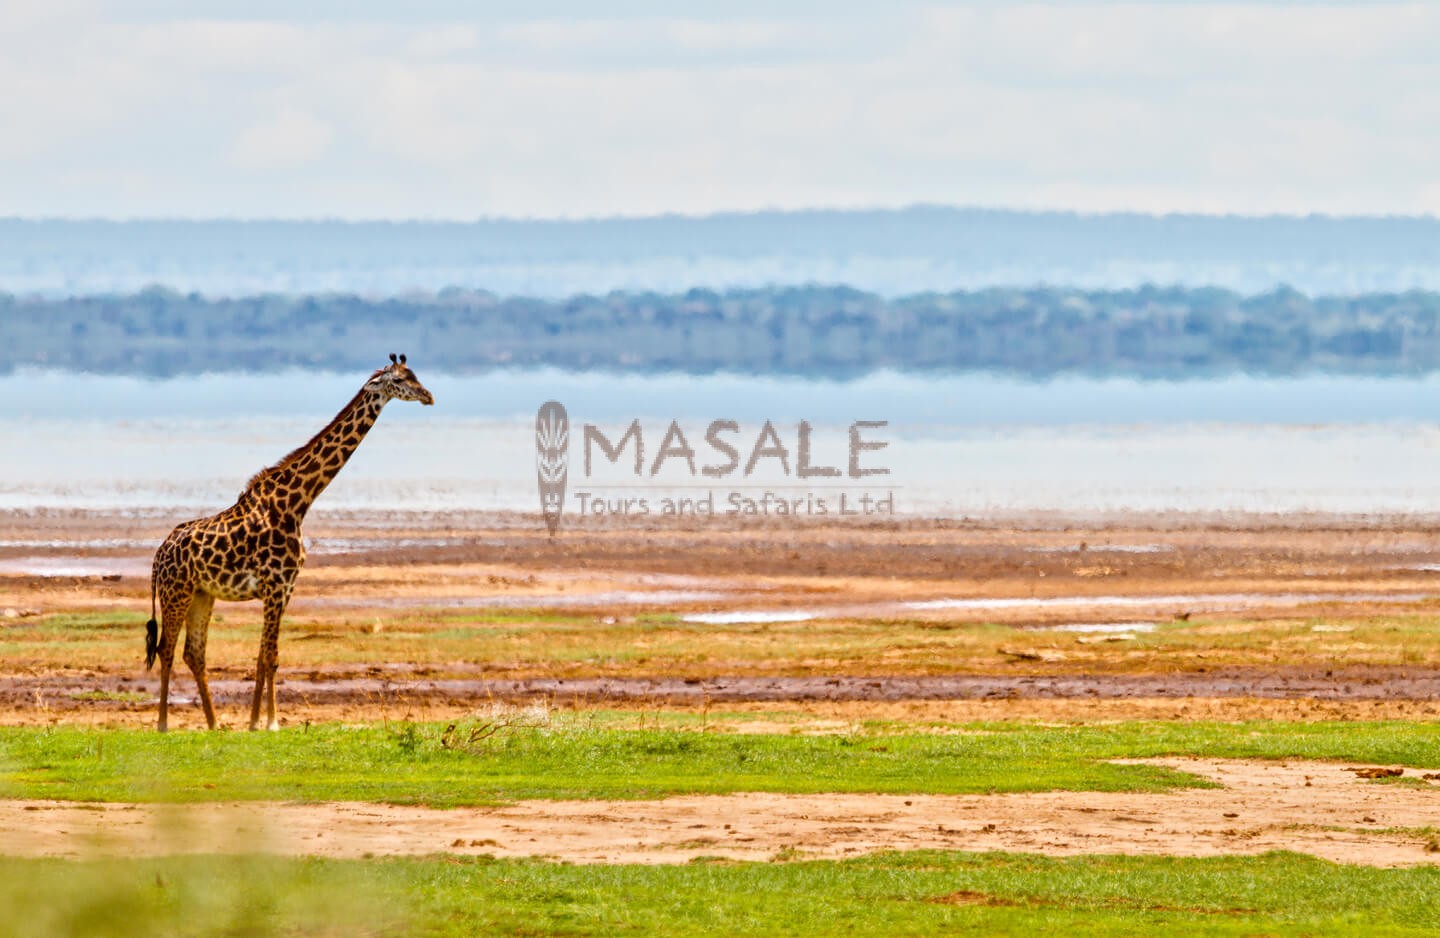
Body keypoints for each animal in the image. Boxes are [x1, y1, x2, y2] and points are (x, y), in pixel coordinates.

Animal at [144, 355, 432, 729]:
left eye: (415, 375)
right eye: (399, 380)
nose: (428, 396)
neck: (297, 503)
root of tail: (158, 555)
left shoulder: (286, 588)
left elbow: (268, 656)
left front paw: (261, 721)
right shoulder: (275, 586)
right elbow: (268, 655)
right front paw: (265, 723)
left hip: (202, 594)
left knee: (193, 653)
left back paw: (214, 724)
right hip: (175, 592)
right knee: (165, 649)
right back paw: (164, 725)